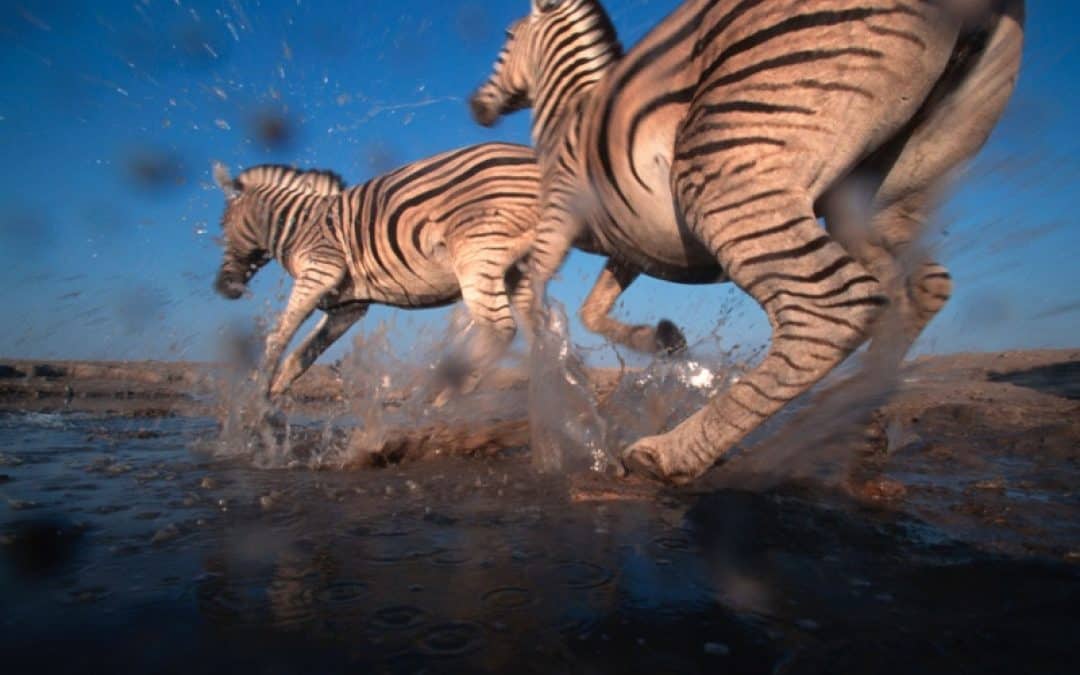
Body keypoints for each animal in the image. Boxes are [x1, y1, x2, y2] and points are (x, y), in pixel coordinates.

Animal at [212, 142, 682, 404]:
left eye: (221, 225)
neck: (298, 223)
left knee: (501, 329)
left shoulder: (319, 270)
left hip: (477, 251)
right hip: (516, 266)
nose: (222, 288)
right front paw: (272, 396)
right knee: (539, 331)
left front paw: (253, 398)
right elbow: (302, 354)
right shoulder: (348, 306)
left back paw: (441, 397)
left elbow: (277, 337)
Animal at [469, 0, 1024, 483]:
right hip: (880, 195)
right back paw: (854, 424)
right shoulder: (627, 247)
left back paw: (674, 453)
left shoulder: (562, 216)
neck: (569, 111)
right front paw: (661, 339)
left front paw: (554, 420)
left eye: (508, 37)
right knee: (918, 288)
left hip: (725, 169)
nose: (477, 105)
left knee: (833, 309)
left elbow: (532, 293)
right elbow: (591, 309)